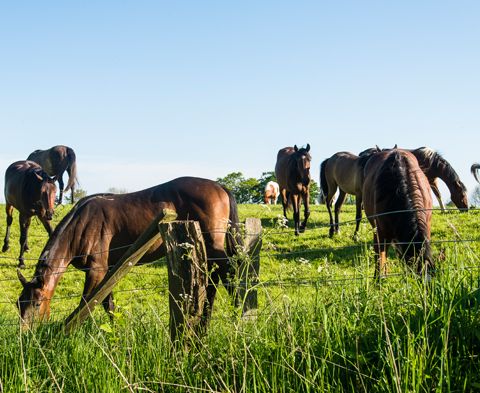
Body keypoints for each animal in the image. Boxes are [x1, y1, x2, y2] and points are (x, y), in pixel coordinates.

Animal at [16, 176, 242, 326]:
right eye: (19, 305)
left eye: (37, 304)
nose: (27, 336)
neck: (81, 224)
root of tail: (219, 186)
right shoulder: (106, 272)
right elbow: (107, 303)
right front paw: (115, 331)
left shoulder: (96, 271)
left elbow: (88, 302)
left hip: (214, 246)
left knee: (228, 276)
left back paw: (237, 315)